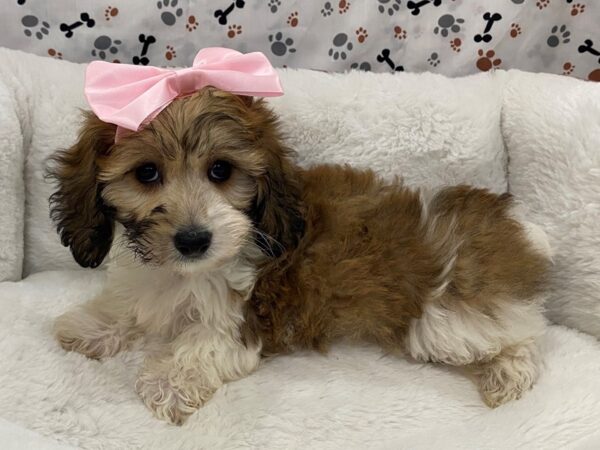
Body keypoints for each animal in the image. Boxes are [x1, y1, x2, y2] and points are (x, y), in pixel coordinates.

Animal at [49, 87, 552, 426]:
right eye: (147, 173)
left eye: (220, 170)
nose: (193, 240)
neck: (185, 273)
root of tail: (515, 228)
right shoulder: (147, 285)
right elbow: (128, 308)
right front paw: (92, 327)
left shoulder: (241, 321)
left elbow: (199, 346)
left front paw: (168, 383)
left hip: (444, 322)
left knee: (523, 335)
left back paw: (507, 375)